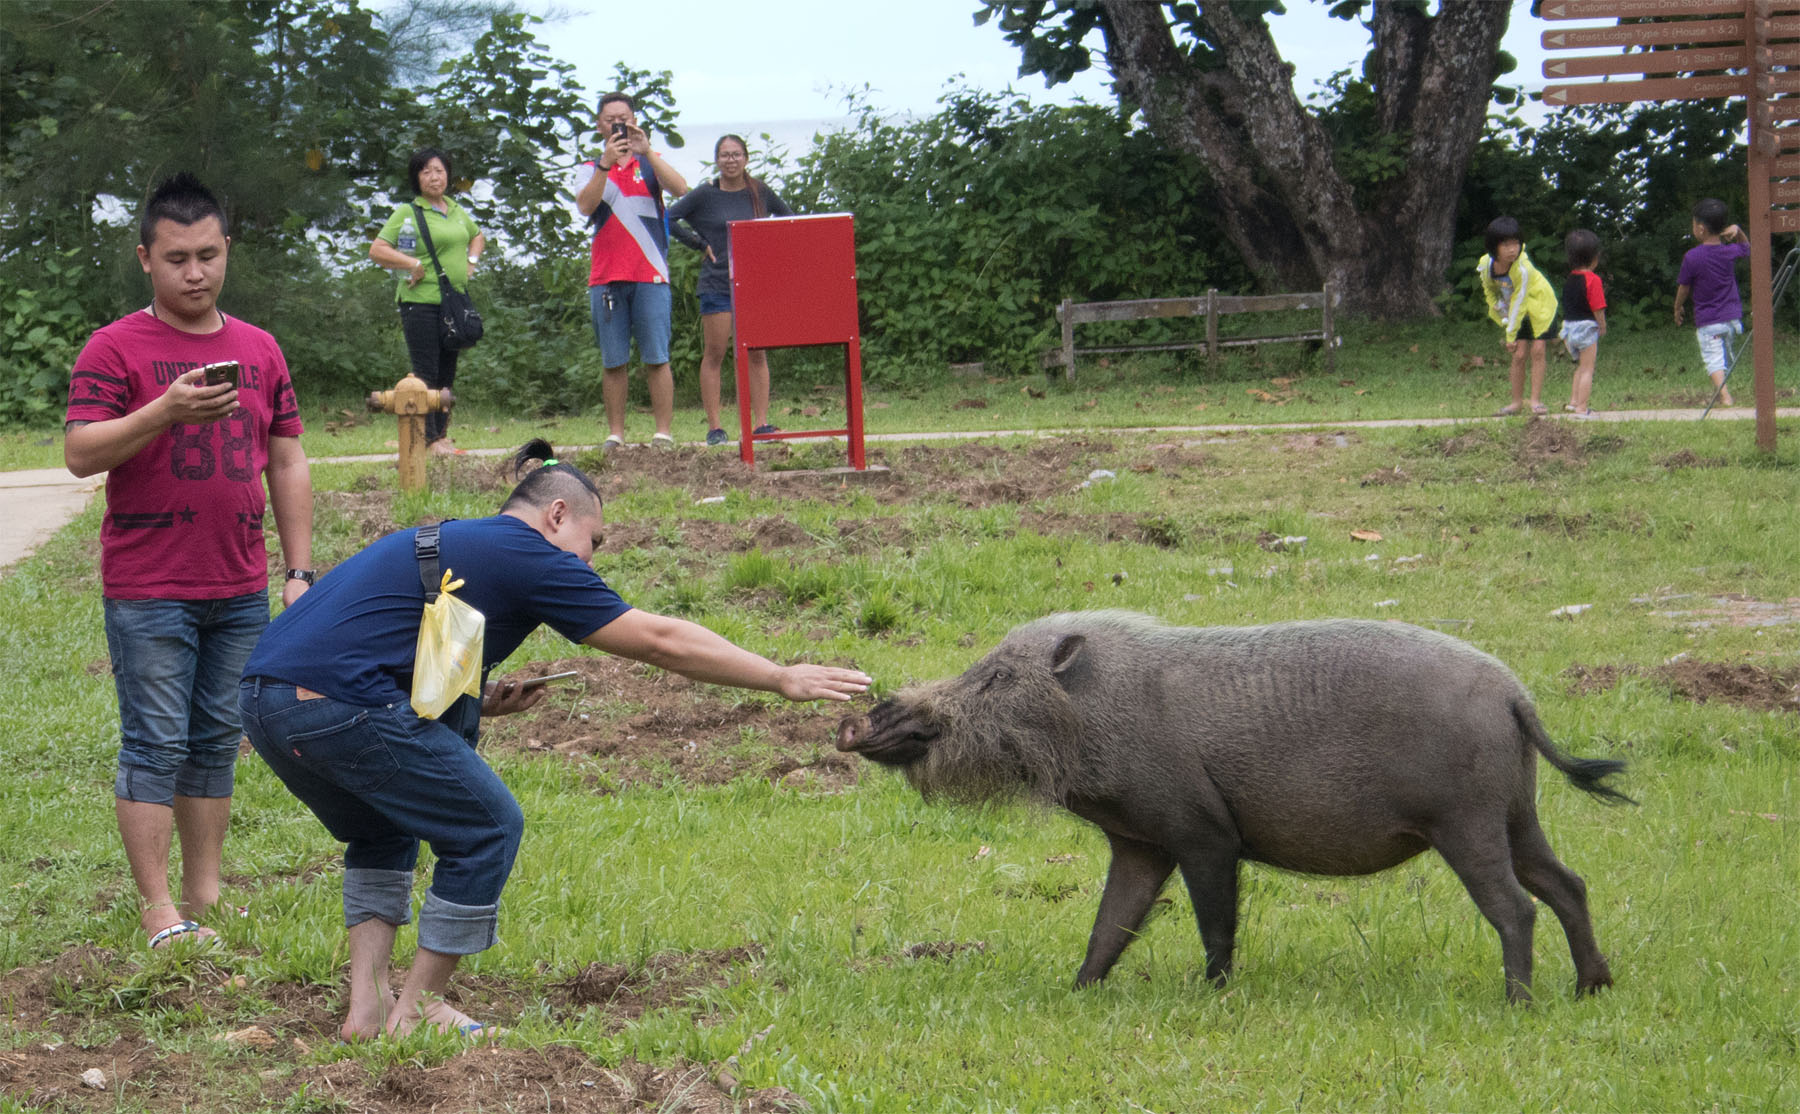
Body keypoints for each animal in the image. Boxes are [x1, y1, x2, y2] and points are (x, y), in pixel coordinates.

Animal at [835, 611, 1633, 1004]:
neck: (1095, 715)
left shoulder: (1204, 833)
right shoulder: (1141, 842)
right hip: (1517, 815)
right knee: (1569, 884)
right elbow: (1110, 926)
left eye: (998, 677)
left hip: (1466, 822)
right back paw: (1591, 990)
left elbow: (1215, 922)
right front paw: (1075, 993)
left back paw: (1519, 1004)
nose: (860, 717)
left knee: (1517, 907)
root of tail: (1515, 694)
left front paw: (1211, 998)